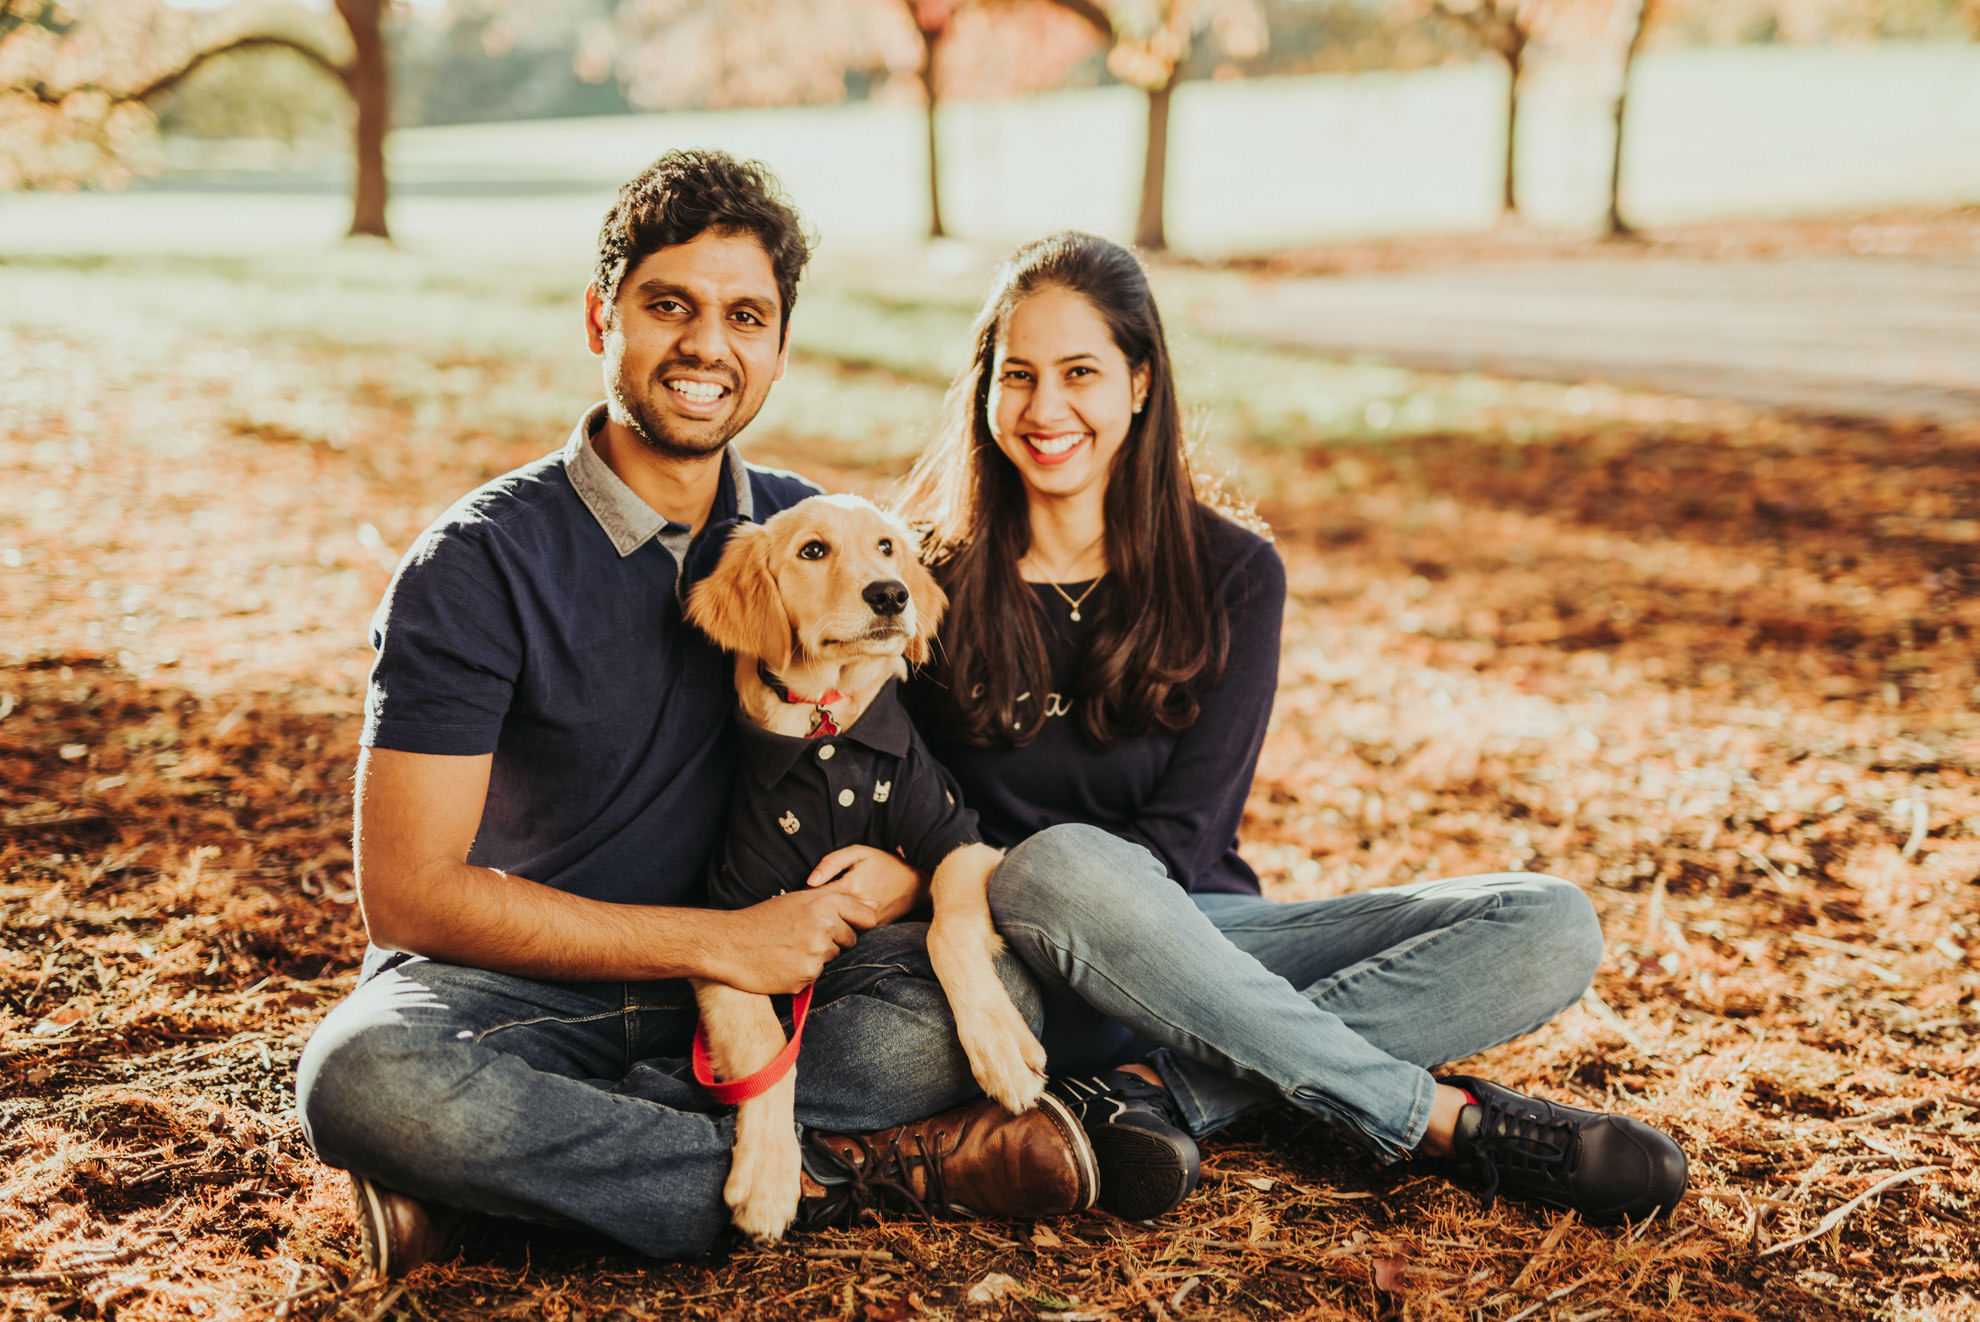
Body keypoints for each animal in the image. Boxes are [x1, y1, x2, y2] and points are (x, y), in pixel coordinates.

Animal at [685, 492, 1045, 1242]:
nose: (891, 594)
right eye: (813, 550)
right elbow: (767, 1042)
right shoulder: (727, 932)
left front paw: (1001, 1049)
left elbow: (948, 932)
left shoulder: (959, 839)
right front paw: (767, 1174)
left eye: (886, 548)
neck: (827, 726)